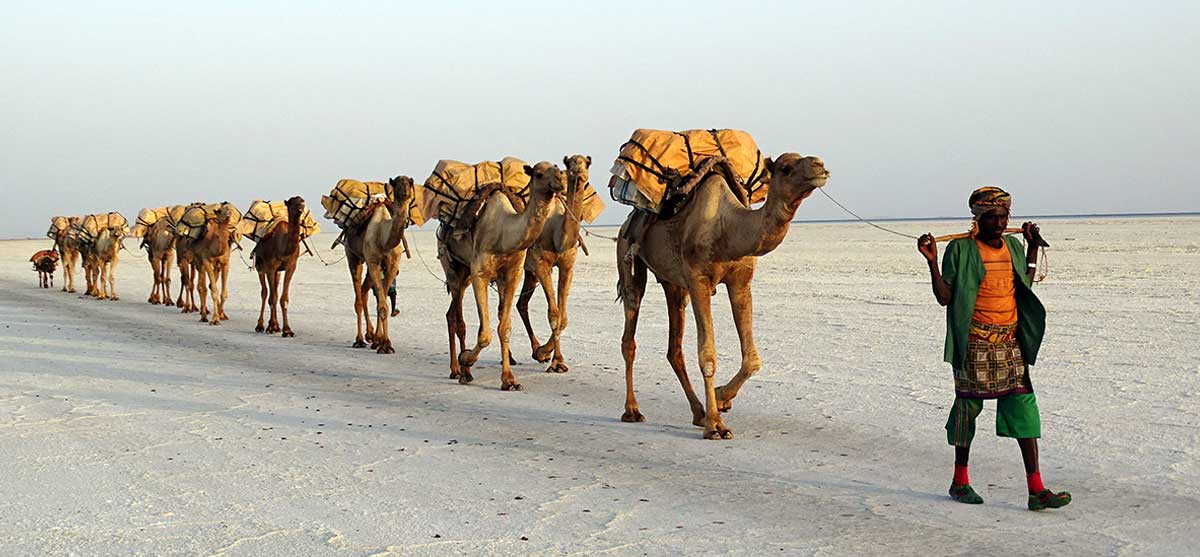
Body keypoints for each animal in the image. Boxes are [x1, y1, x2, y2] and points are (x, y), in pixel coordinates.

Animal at [251, 196, 307, 337]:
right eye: (293, 202)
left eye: (303, 201)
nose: (301, 208)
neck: (283, 248)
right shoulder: (270, 268)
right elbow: (272, 298)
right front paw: (271, 327)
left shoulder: (291, 267)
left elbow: (283, 299)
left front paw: (287, 330)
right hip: (261, 268)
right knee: (265, 293)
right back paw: (261, 325)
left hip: (278, 272)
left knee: (274, 290)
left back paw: (276, 326)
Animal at [341, 177, 416, 353]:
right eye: (396, 183)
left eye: (410, 182)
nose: (405, 193)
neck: (384, 237)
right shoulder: (373, 260)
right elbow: (382, 305)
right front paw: (385, 344)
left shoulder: (392, 264)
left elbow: (383, 302)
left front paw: (382, 341)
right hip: (353, 255)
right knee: (358, 297)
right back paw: (360, 339)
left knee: (364, 292)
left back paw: (371, 336)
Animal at [439, 161, 566, 390]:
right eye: (539, 173)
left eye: (557, 167)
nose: (560, 180)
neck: (504, 232)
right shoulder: (479, 272)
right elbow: (484, 334)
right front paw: (466, 359)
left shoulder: (512, 273)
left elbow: (504, 326)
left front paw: (509, 380)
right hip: (453, 268)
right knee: (456, 319)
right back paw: (461, 370)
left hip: (467, 273)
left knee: (453, 314)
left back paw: (462, 369)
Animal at [516, 154, 591, 374]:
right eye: (569, 162)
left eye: (587, 162)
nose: (577, 170)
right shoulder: (541, 264)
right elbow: (554, 313)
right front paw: (556, 361)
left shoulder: (568, 265)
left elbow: (563, 316)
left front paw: (544, 353)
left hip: (529, 273)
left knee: (520, 304)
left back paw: (534, 350)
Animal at [617, 153, 829, 439]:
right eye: (785, 168)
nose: (819, 165)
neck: (728, 228)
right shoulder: (698, 281)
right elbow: (707, 355)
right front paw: (716, 425)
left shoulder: (741, 281)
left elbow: (752, 358)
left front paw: (720, 399)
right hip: (627, 253)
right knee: (630, 328)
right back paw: (633, 410)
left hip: (673, 284)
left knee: (675, 348)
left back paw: (698, 412)